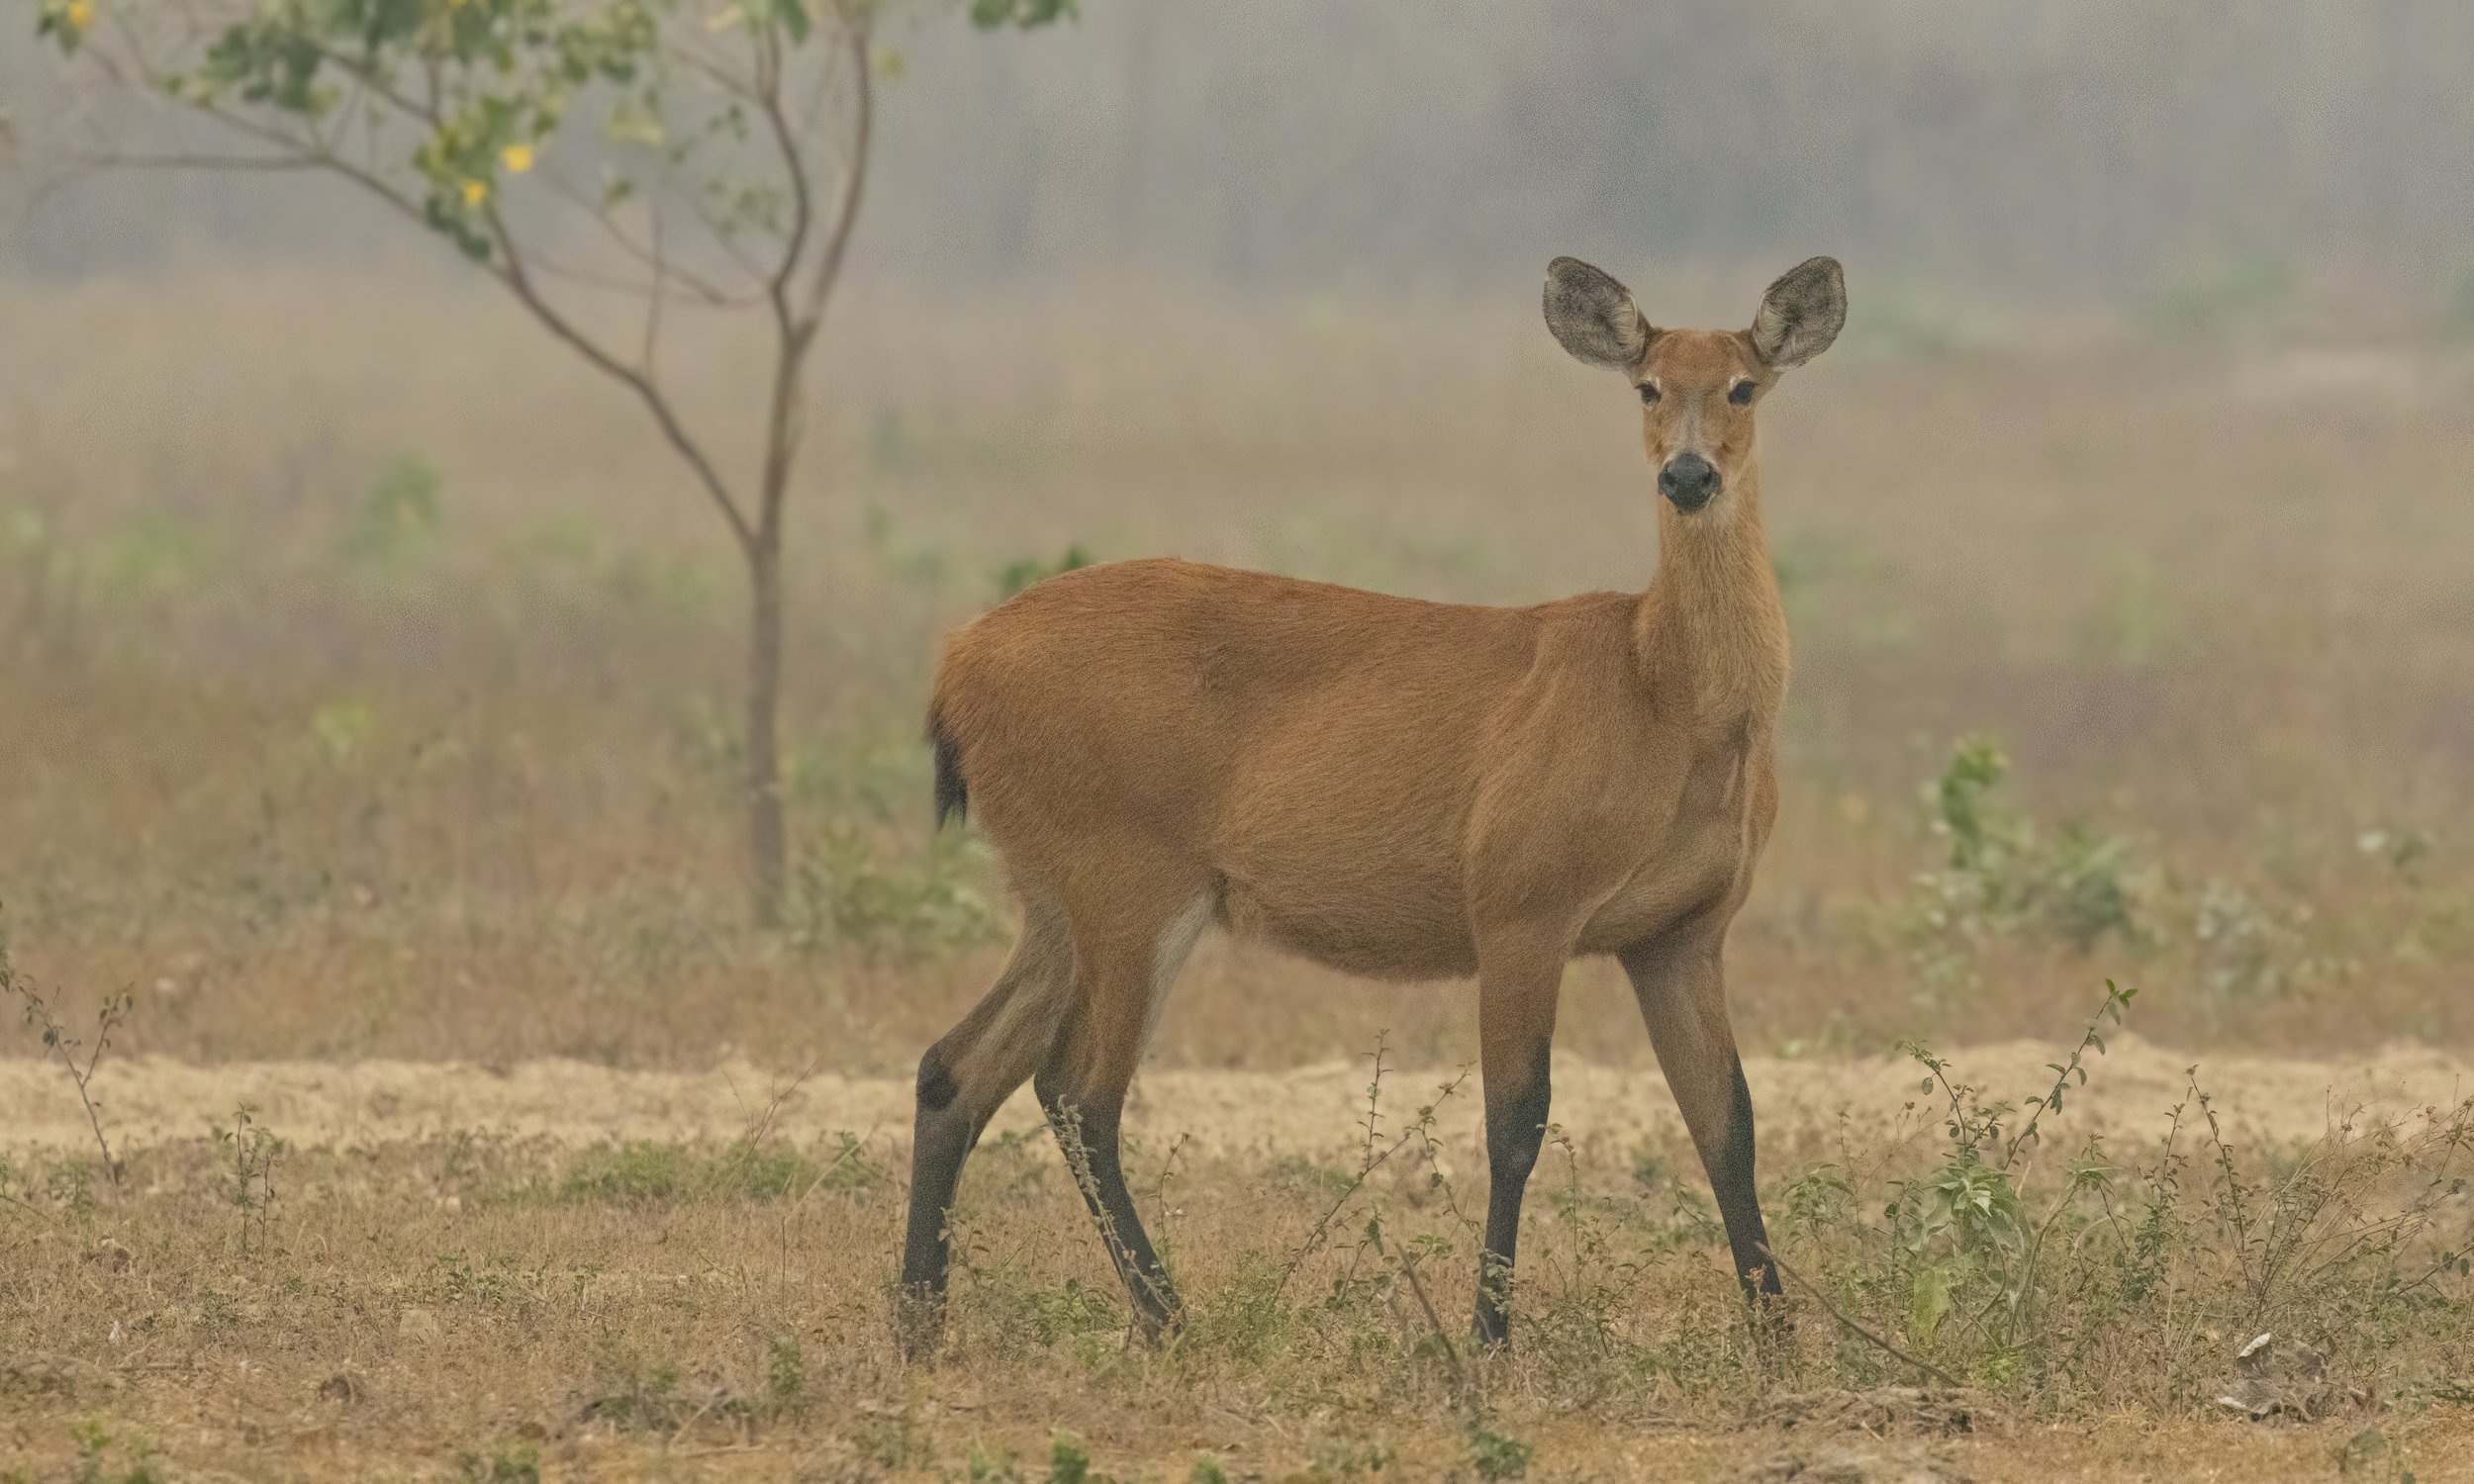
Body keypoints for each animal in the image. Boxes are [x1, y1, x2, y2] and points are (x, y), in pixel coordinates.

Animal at [897, 255, 1847, 1356]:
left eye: (1742, 386)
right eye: (1647, 386)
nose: (1688, 476)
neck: (1663, 692)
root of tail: (955, 666)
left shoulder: (1683, 931)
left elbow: (1727, 1122)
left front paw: (1779, 1335)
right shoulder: (1521, 901)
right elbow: (1517, 1122)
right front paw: (1487, 1337)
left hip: (1055, 893)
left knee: (957, 1068)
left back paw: (920, 1325)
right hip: (1127, 878)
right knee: (1080, 1090)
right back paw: (1172, 1320)